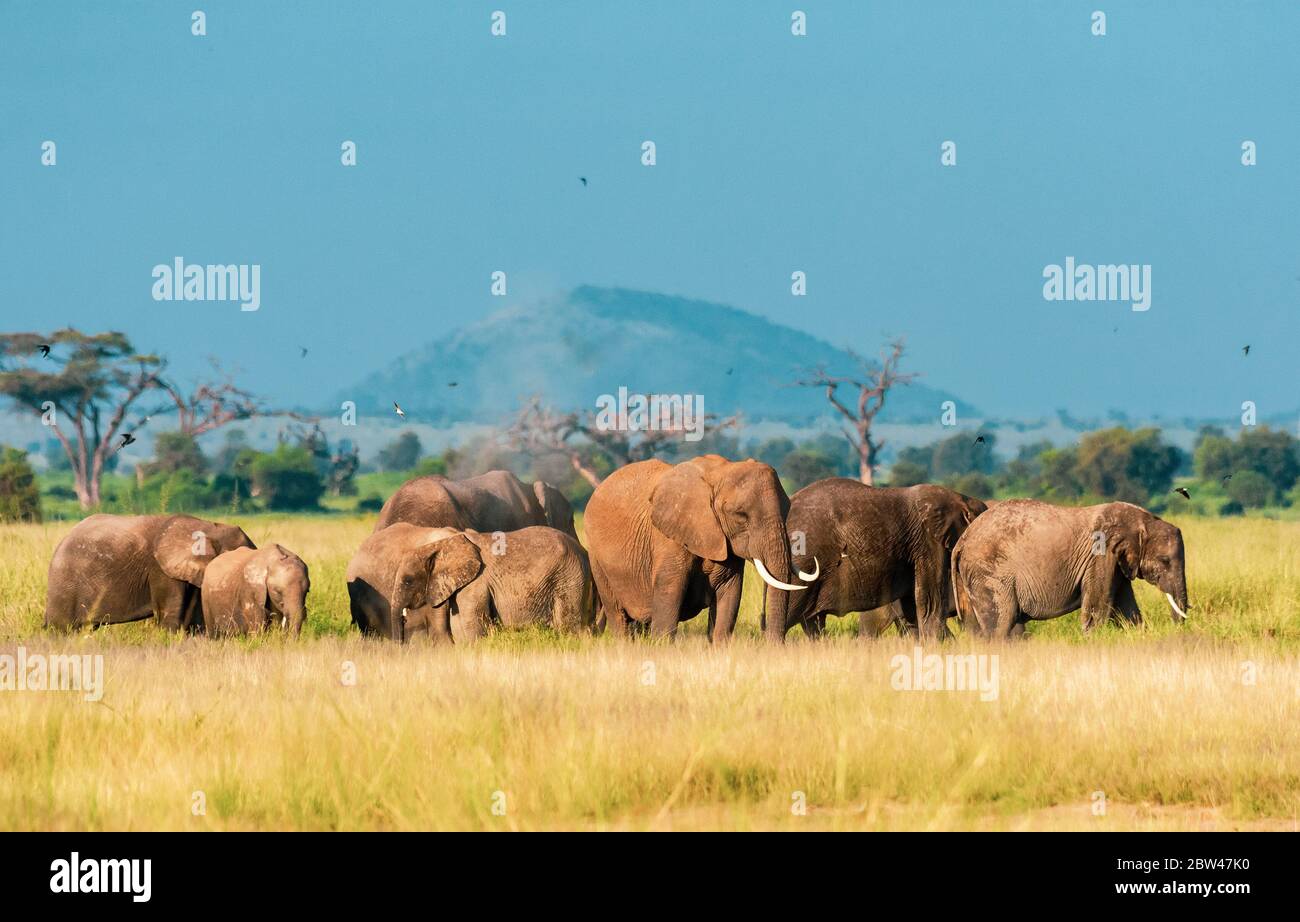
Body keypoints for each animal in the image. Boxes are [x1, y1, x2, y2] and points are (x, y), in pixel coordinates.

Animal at [347, 524, 593, 642]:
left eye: (408, 581)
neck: (441, 544)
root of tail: (583, 551)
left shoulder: (475, 584)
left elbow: (468, 626)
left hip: (569, 577)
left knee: (569, 625)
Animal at [584, 454, 815, 641]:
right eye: (740, 515)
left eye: (787, 511)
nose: (774, 644)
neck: (722, 471)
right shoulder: (669, 540)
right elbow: (668, 601)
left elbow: (729, 598)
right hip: (597, 558)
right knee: (618, 616)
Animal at [766, 479, 987, 642]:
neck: (961, 499)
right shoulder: (928, 542)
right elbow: (929, 602)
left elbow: (912, 609)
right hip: (805, 563)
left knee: (809, 622)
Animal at [951, 499, 1189, 638]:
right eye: (1165, 561)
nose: (1176, 630)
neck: (1143, 519)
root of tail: (962, 541)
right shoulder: (1100, 556)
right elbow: (1097, 609)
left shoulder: (1116, 564)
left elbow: (1126, 609)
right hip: (989, 573)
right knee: (1001, 623)